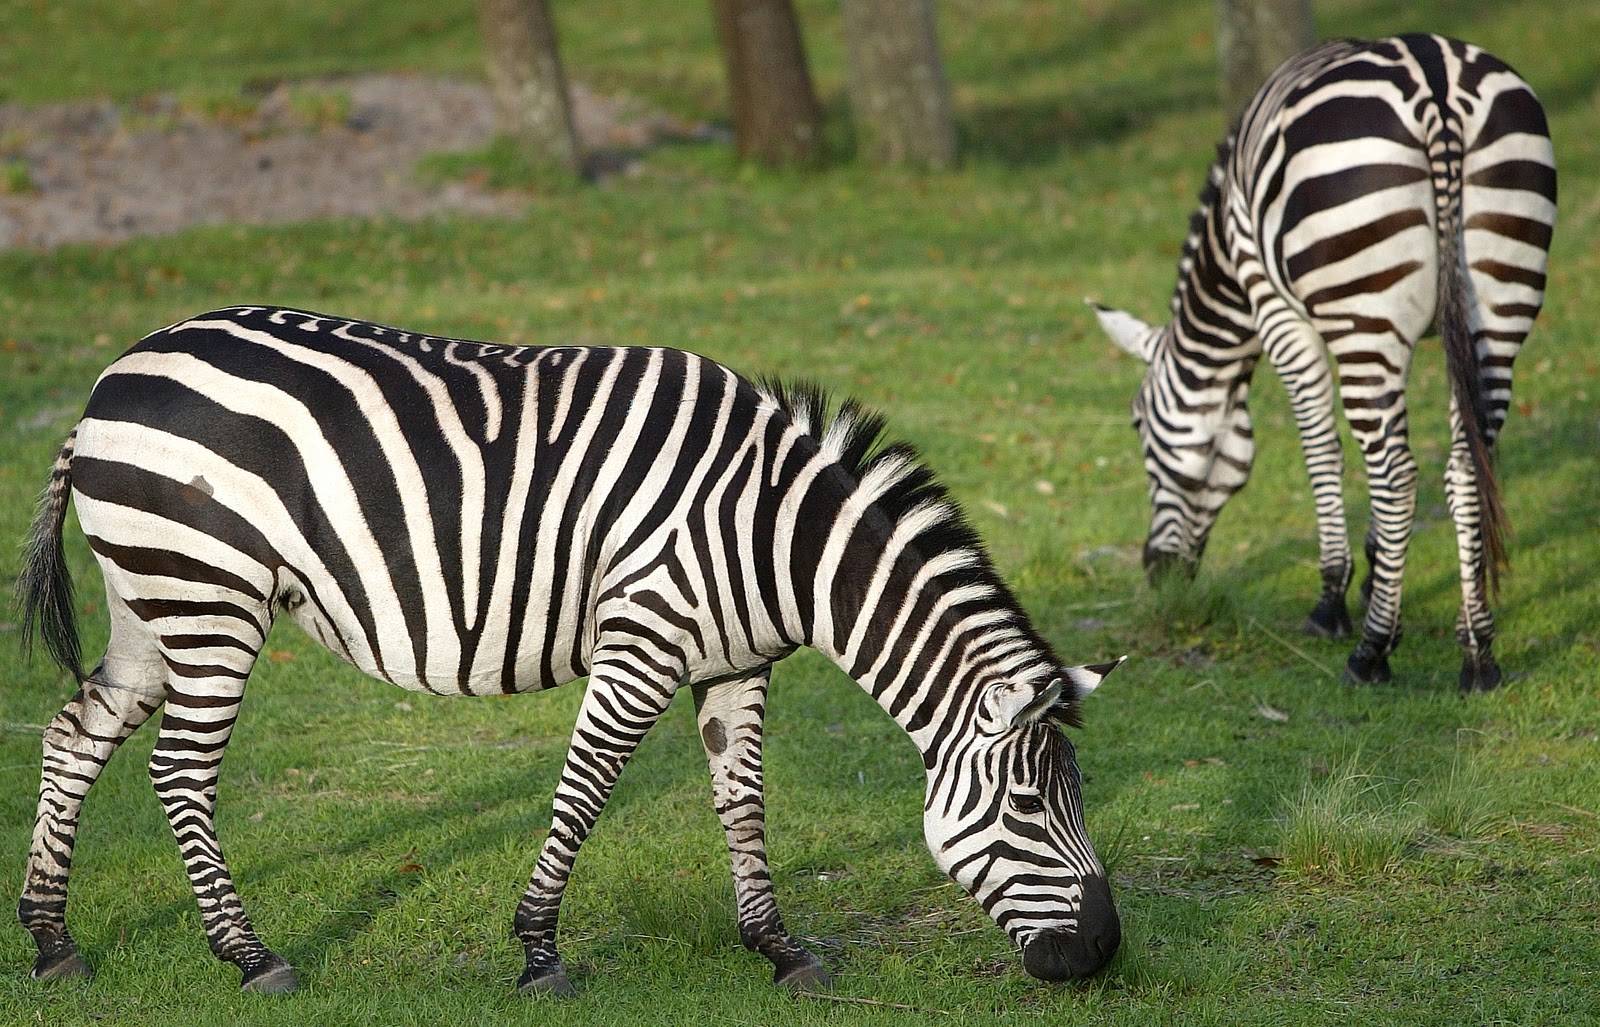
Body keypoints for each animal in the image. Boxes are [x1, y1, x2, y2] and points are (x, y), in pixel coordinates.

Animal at [16, 305, 1124, 994]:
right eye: (1032, 806)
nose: (1105, 952)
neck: (776, 537)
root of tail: (113, 378)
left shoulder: (736, 659)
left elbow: (742, 799)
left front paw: (778, 945)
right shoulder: (643, 636)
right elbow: (584, 791)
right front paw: (540, 952)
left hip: (151, 600)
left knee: (74, 735)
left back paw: (53, 940)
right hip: (209, 597)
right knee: (179, 770)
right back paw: (250, 955)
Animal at [1088, 34, 1556, 690]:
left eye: (1138, 424)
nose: (1157, 572)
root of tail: (1434, 81)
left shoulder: (1276, 307)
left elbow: (1320, 447)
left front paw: (1335, 599)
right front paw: (1378, 575)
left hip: (1363, 311)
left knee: (1396, 475)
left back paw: (1370, 653)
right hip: (1497, 307)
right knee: (1468, 470)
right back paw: (1478, 656)